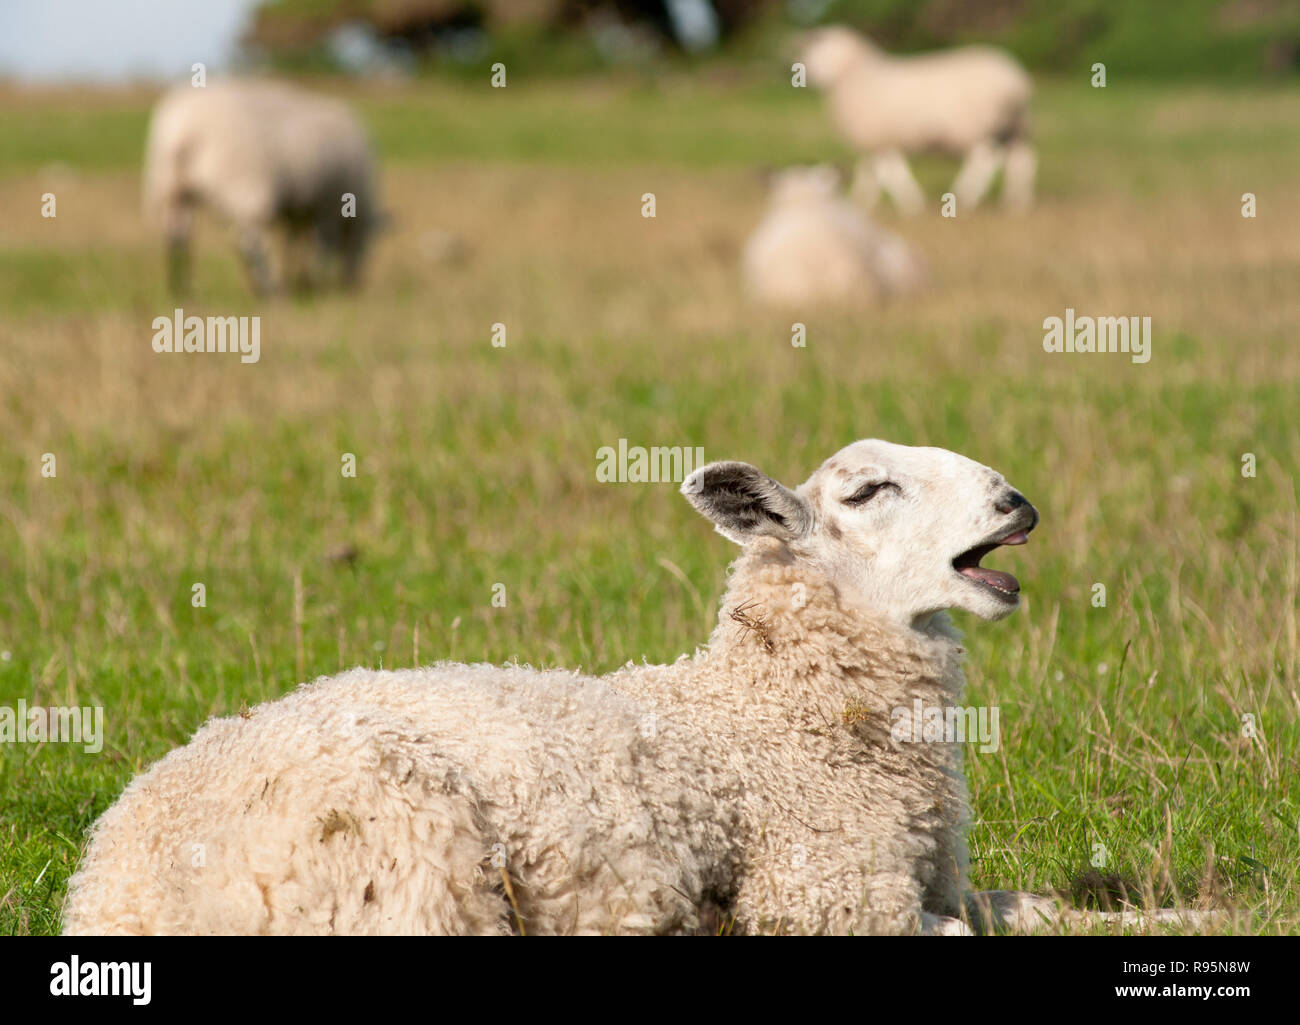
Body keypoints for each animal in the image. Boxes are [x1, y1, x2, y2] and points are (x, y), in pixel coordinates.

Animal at [145, 79, 384, 293]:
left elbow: (293, 243)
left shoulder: (300, 210)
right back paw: (269, 290)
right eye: (369, 246)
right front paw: (316, 281)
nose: (354, 285)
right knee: (251, 244)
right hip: (245, 189)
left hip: (175, 189)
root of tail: (181, 130)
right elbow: (323, 246)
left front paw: (301, 279)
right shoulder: (329, 206)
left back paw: (183, 290)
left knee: (177, 237)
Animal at [800, 26, 1034, 214]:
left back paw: (965, 196)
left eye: (824, 48)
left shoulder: (881, 138)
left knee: (984, 161)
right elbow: (870, 173)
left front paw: (910, 203)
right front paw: (860, 202)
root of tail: (1016, 80)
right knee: (1020, 161)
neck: (852, 75)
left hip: (979, 127)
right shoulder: (875, 141)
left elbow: (890, 174)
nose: (810, 75)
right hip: (1015, 127)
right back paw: (1016, 203)